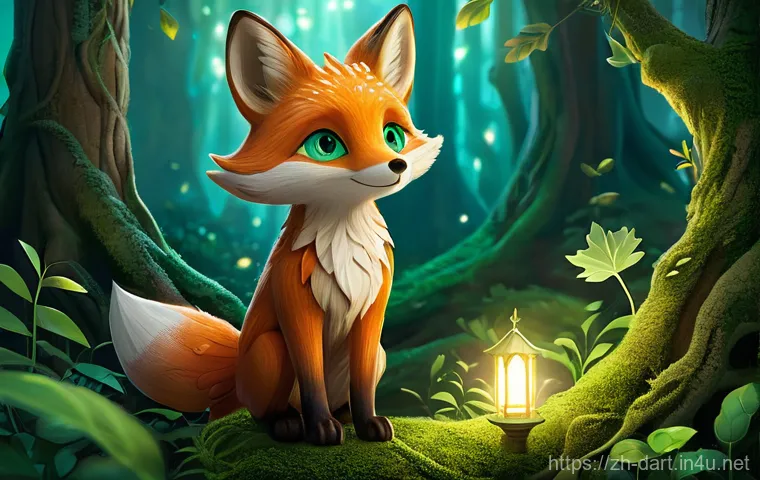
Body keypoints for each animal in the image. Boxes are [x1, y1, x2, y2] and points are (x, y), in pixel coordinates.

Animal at [109, 5, 442, 446]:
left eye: (392, 136)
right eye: (326, 144)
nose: (396, 164)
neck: (345, 244)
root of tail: (235, 370)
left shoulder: (374, 309)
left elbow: (363, 382)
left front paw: (368, 422)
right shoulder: (295, 304)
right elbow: (311, 376)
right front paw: (321, 430)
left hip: (378, 354)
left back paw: (343, 416)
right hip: (270, 351)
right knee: (260, 410)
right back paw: (287, 423)